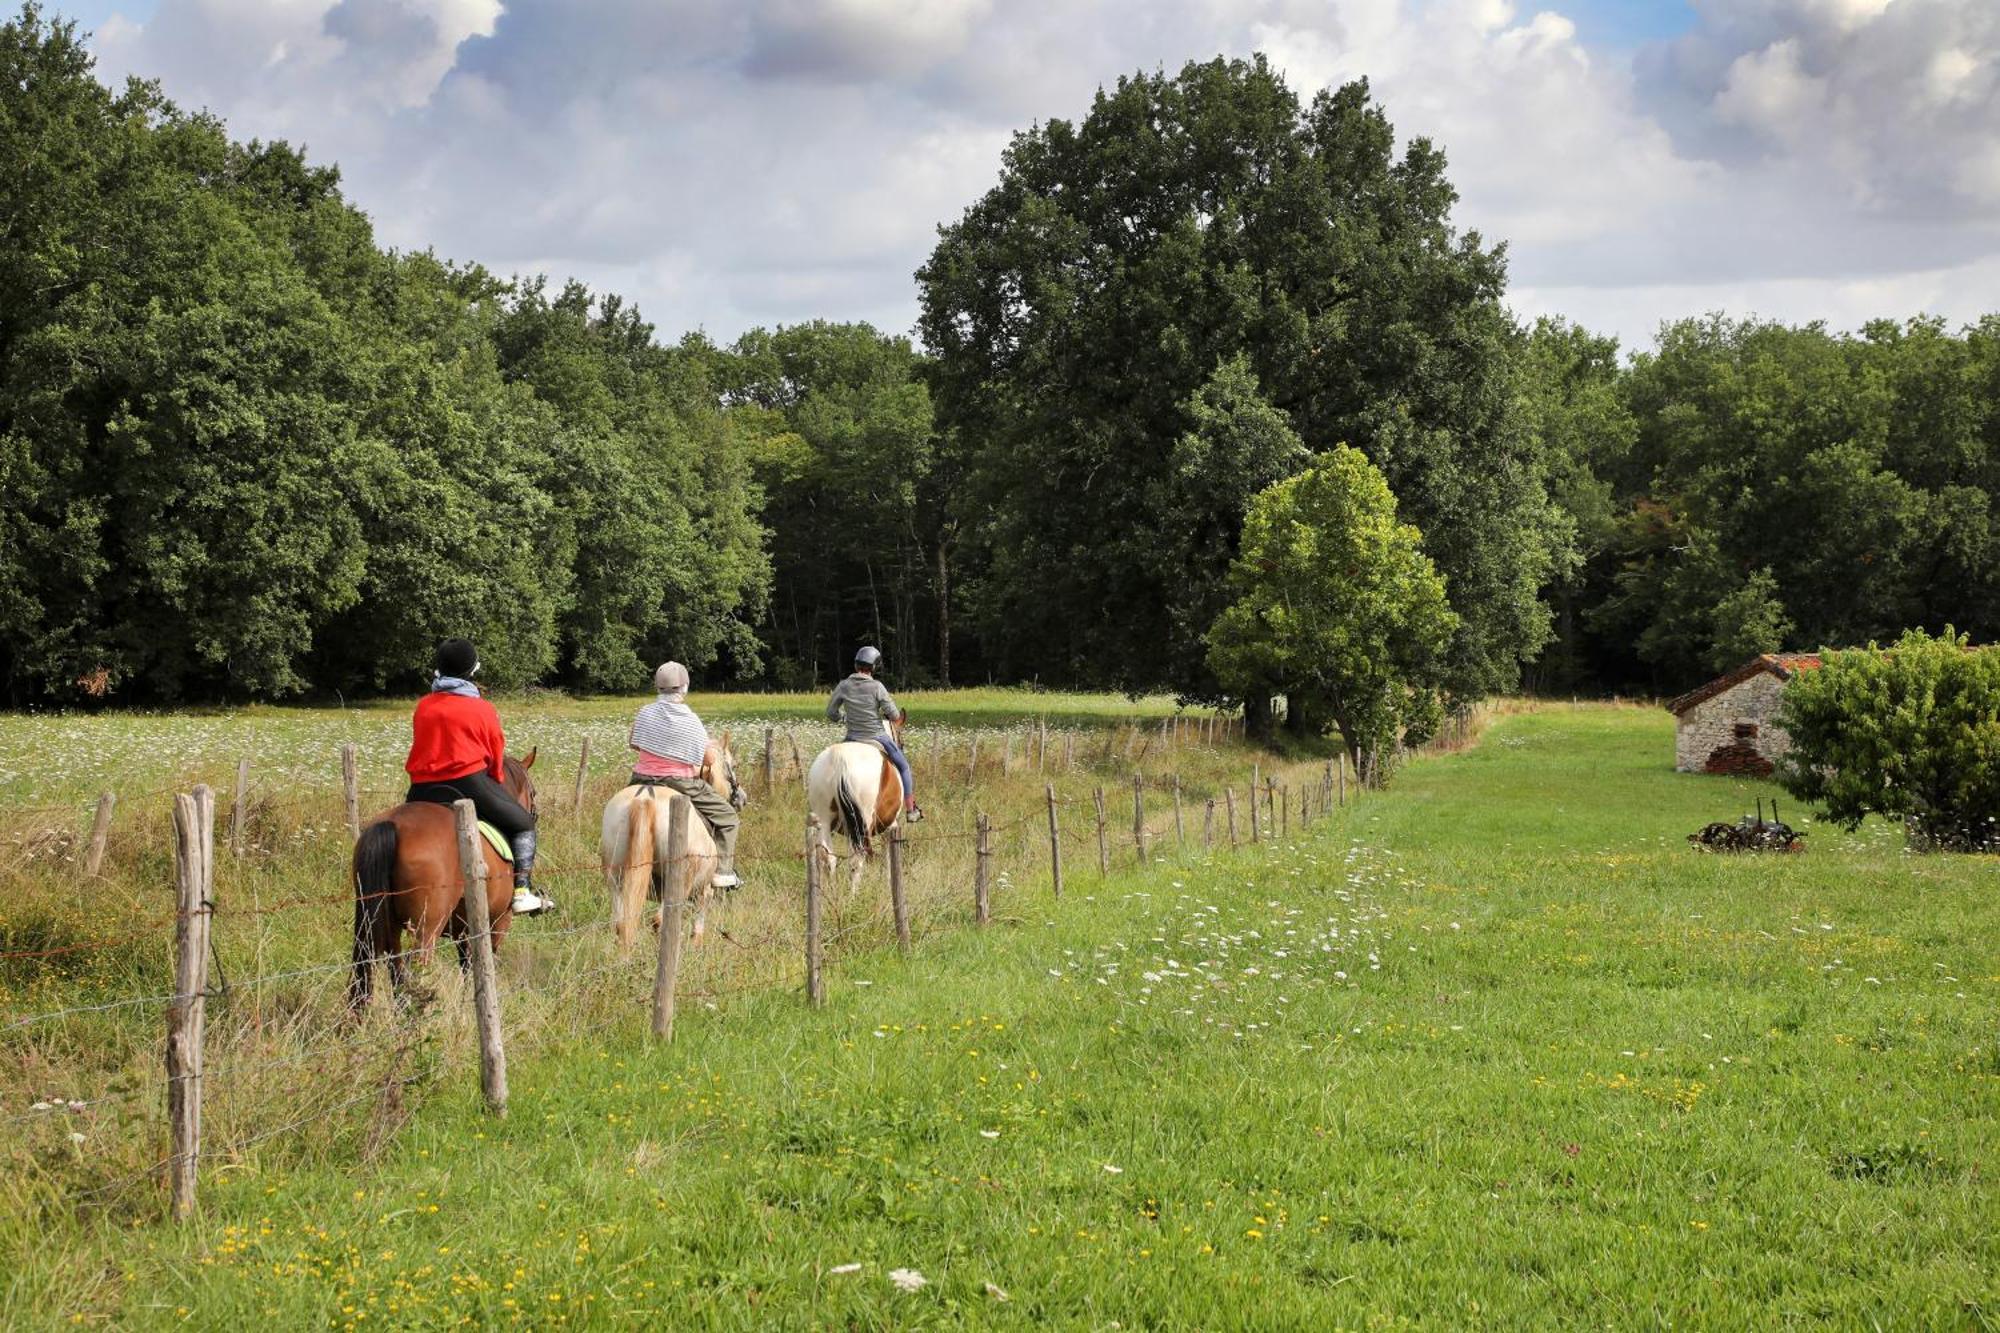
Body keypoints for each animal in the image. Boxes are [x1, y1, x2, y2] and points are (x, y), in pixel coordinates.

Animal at [350, 748, 540, 1008]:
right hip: (426, 929)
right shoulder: (498, 922)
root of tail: (393, 825)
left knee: (393, 967)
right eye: (533, 792)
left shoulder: (464, 929)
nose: (535, 813)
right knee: (416, 966)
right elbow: (485, 962)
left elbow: (468, 966)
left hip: (383, 923)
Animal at [600, 736, 752, 944]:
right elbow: (699, 921)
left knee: (620, 923)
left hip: (615, 875)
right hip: (680, 882)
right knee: (658, 921)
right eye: (734, 765)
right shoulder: (705, 889)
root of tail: (645, 795)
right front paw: (696, 944)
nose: (742, 798)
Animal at [812, 736, 908, 892]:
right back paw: (853, 894)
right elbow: (888, 855)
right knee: (856, 860)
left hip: (825, 820)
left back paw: (830, 892)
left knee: (826, 857)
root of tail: (840, 758)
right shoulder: (890, 827)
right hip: (861, 825)